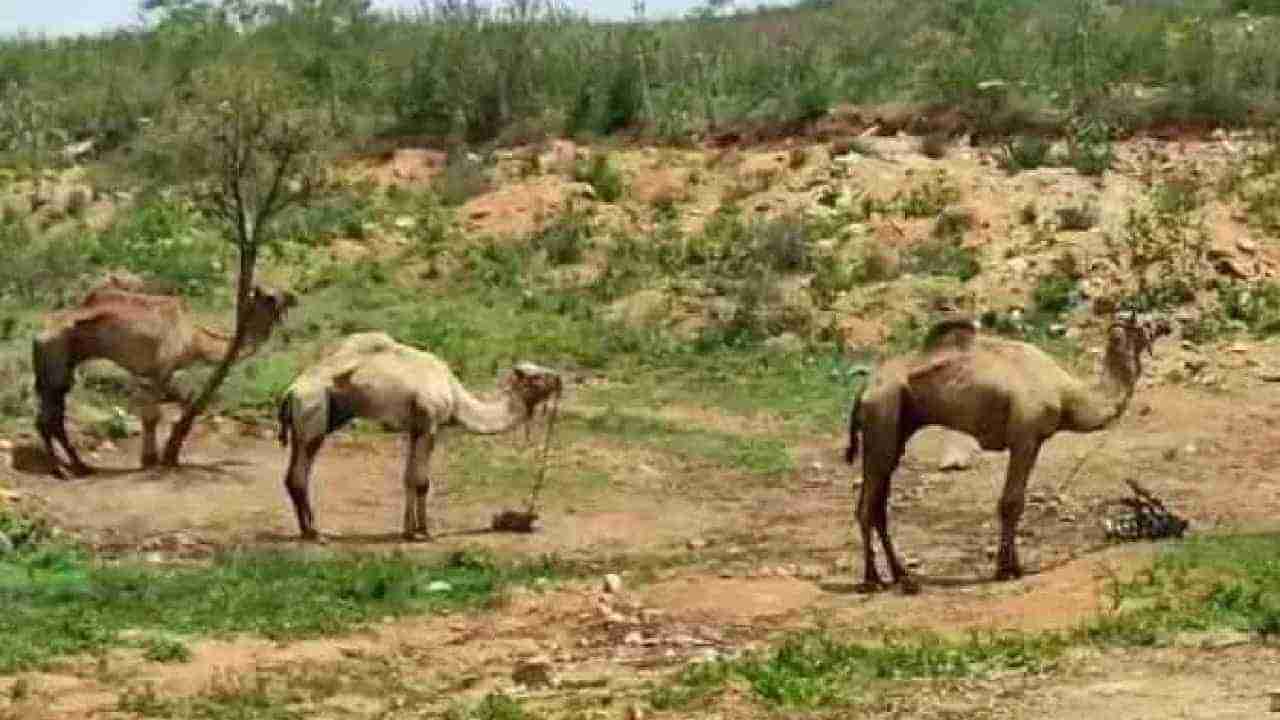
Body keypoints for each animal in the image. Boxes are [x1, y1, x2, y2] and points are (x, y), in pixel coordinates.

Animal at [34, 280, 296, 476]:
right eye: (270, 297)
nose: (293, 297)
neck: (193, 338)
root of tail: (38, 335)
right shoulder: (162, 369)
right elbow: (154, 416)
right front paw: (151, 460)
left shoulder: (147, 375)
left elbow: (171, 406)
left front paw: (158, 455)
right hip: (56, 361)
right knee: (49, 418)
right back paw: (62, 470)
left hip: (56, 369)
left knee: (51, 416)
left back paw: (79, 466)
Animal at [277, 333, 563, 540]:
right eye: (537, 376)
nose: (559, 380)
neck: (455, 396)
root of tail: (290, 392)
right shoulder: (429, 425)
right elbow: (422, 481)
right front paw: (424, 532)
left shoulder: (415, 430)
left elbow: (408, 479)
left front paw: (408, 530)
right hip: (314, 415)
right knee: (300, 475)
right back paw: (316, 533)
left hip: (308, 423)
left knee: (293, 476)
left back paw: (307, 530)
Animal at [844, 311, 1172, 591]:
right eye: (1145, 322)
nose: (1166, 324)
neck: (1068, 395)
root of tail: (864, 390)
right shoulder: (1024, 437)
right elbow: (1011, 503)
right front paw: (1009, 569)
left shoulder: (1033, 441)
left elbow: (1014, 502)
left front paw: (1009, 565)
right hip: (882, 416)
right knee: (867, 506)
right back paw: (873, 580)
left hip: (897, 428)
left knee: (879, 506)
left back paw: (902, 577)